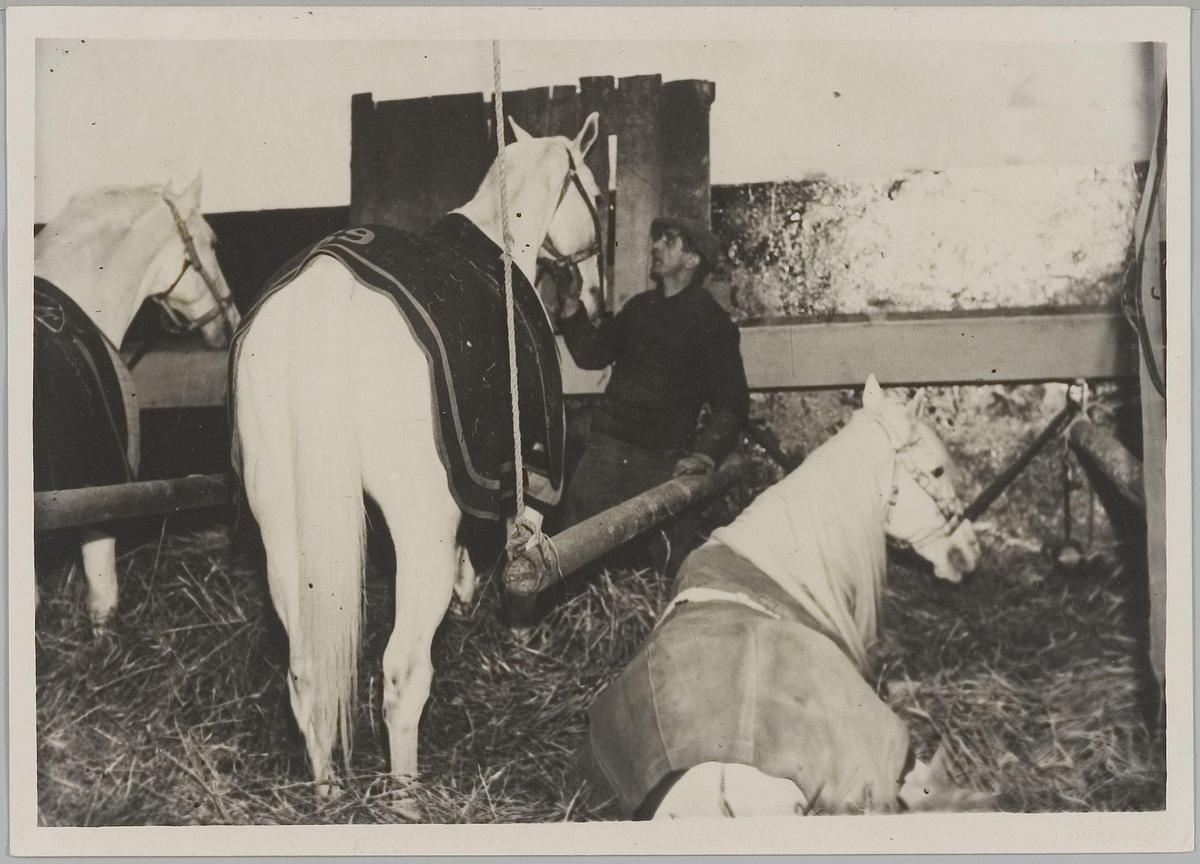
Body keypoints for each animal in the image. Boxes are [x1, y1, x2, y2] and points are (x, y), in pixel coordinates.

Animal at [231, 114, 603, 793]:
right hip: (416, 526)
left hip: (283, 523)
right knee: (403, 673)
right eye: (595, 192)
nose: (592, 298)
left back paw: (327, 793)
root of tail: (328, 286)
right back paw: (405, 796)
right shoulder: (527, 481)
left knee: (306, 675)